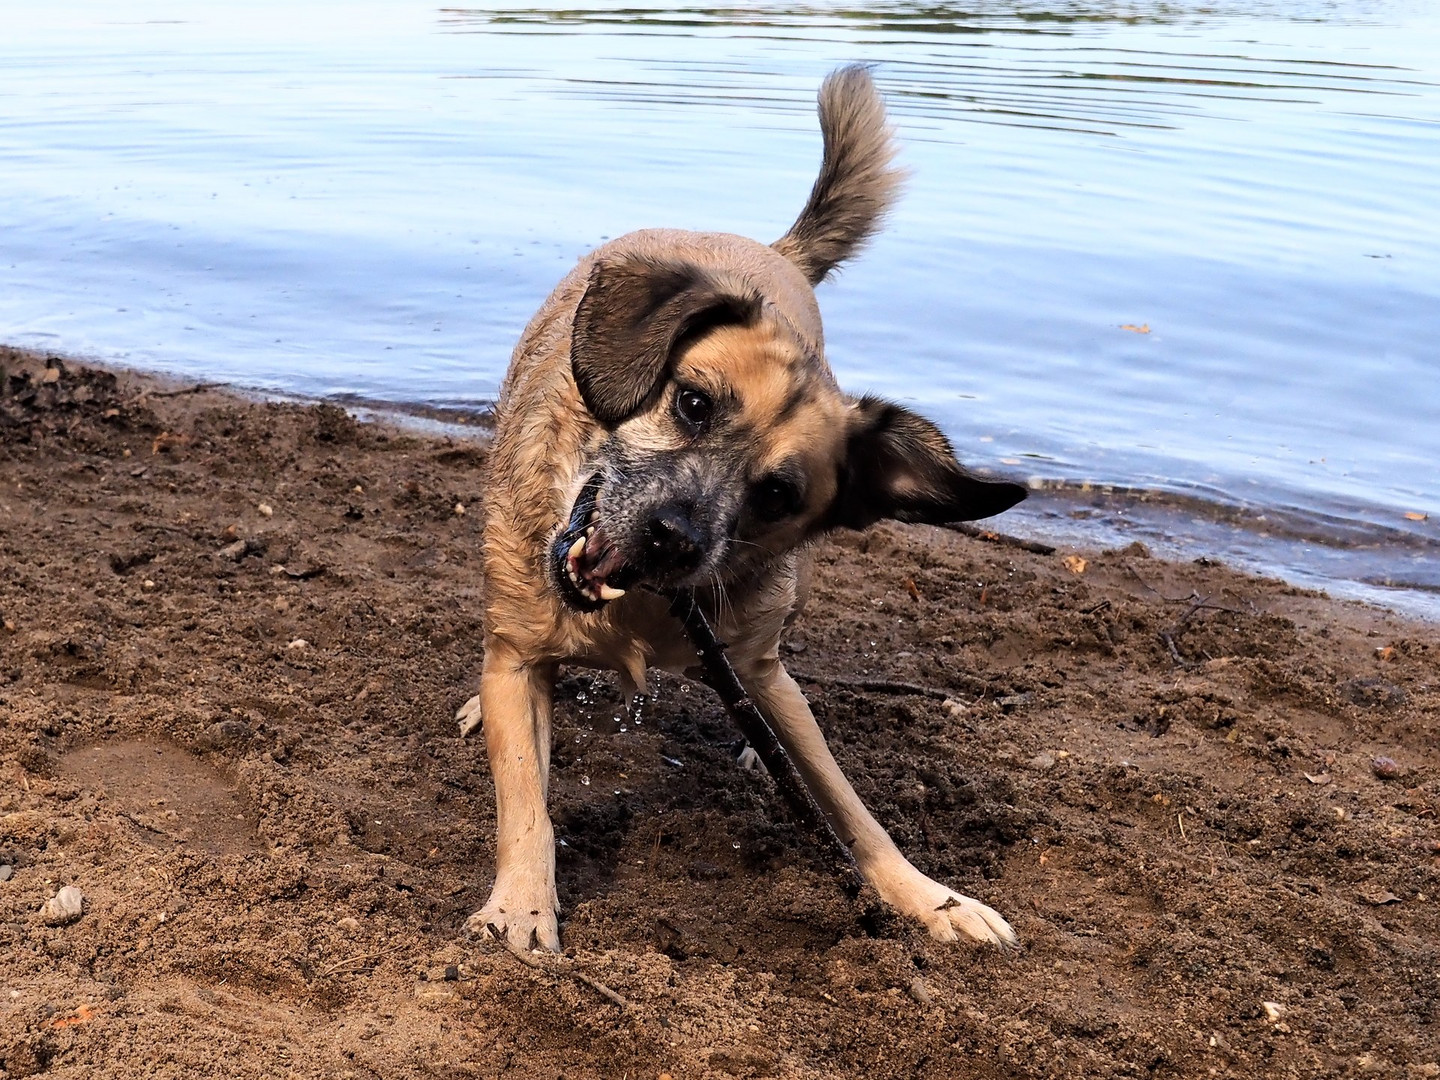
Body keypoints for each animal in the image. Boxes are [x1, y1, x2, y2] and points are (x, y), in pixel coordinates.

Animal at [455, 63, 1031, 950]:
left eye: (776, 494)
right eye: (692, 403)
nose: (670, 538)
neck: (636, 615)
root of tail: (765, 248)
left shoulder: (755, 666)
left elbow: (852, 809)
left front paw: (929, 897)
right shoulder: (519, 659)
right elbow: (526, 802)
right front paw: (520, 907)